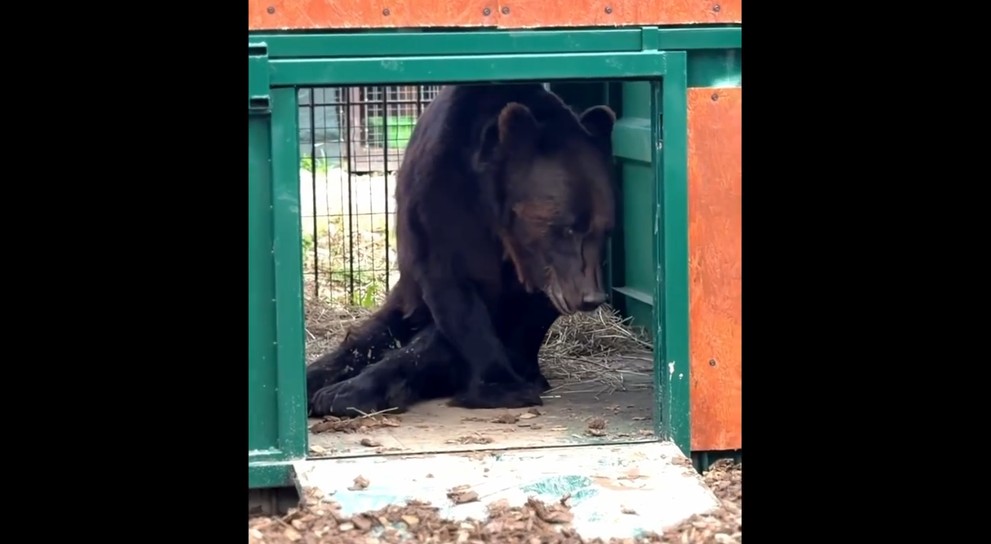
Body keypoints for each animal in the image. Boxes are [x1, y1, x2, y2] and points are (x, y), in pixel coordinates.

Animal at [305, 83, 617, 418]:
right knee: (373, 333)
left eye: (603, 229)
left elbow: (504, 318)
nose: (590, 296)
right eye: (568, 227)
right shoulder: (439, 204)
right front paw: (499, 384)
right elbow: (455, 296)